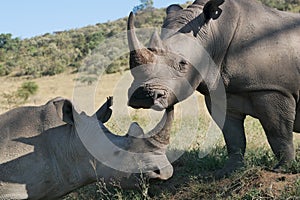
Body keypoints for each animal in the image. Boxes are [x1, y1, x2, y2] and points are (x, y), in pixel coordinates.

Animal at [126, 0, 300, 177]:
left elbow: (277, 132)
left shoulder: (273, 88)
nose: (143, 96)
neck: (214, 34)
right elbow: (233, 136)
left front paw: (283, 169)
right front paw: (228, 171)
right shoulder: (220, 92)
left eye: (183, 64)